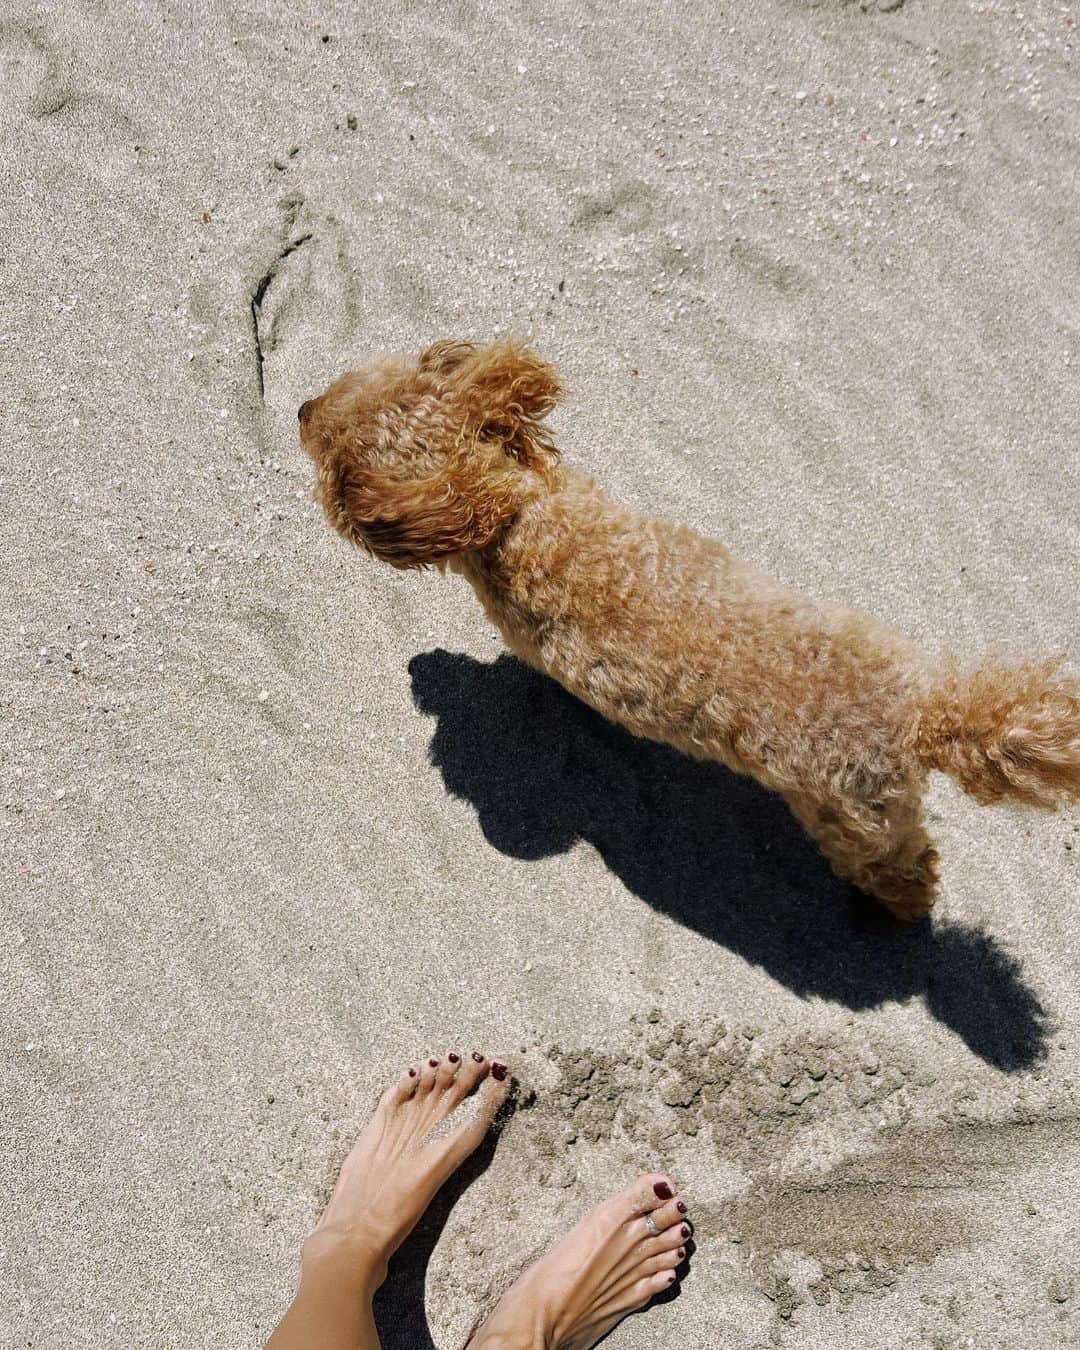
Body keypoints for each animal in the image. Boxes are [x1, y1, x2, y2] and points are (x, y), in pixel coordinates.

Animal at [299, 342, 1080, 923]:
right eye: (343, 388)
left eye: (336, 460)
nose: (301, 408)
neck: (527, 517)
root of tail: (923, 718)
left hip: (851, 819)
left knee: (898, 867)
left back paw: (894, 911)